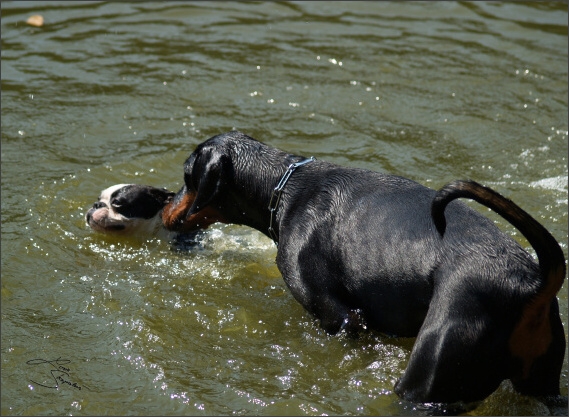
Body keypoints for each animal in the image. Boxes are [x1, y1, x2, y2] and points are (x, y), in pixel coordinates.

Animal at [160, 130, 564, 404]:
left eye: (186, 176)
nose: (163, 207)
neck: (284, 188)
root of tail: (533, 283)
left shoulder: (339, 316)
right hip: (541, 381)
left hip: (429, 376)